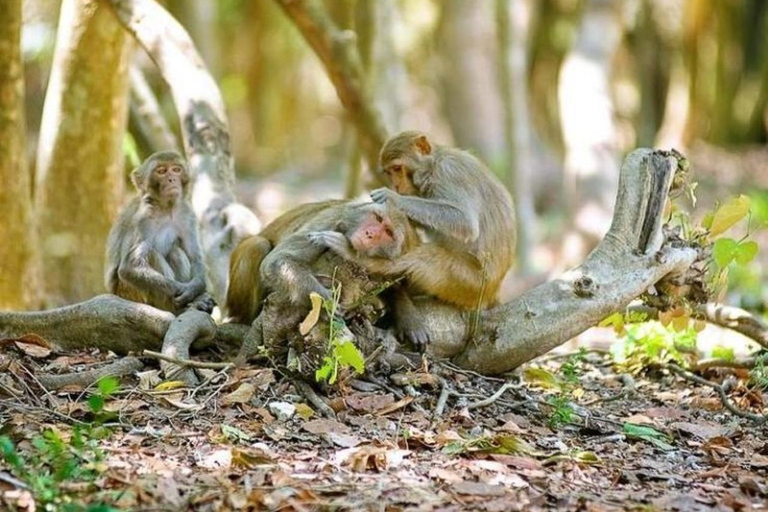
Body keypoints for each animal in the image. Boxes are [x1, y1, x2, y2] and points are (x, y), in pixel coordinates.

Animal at [103, 150, 213, 314]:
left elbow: (195, 258)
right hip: (131, 293)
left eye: (176, 169)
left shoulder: (186, 214)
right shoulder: (143, 218)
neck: (166, 209)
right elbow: (130, 267)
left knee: (175, 252)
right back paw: (180, 307)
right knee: (151, 253)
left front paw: (193, 289)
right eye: (161, 171)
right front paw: (184, 291)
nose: (171, 179)